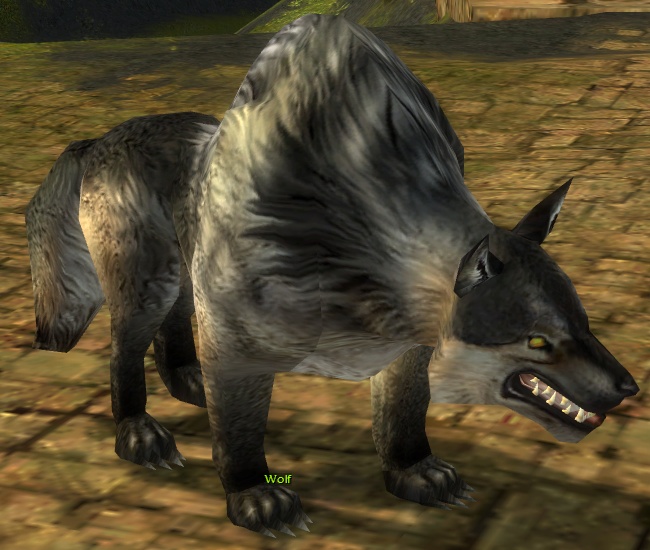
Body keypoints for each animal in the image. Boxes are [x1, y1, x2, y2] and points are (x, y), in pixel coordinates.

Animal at [25, 14, 639, 538]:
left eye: (583, 322)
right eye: (537, 341)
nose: (628, 388)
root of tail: (99, 140)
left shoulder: (408, 343)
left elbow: (402, 410)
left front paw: (413, 471)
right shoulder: (238, 337)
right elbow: (242, 425)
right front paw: (254, 495)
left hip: (180, 267)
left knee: (173, 323)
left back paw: (187, 378)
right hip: (146, 277)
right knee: (125, 346)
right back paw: (139, 432)